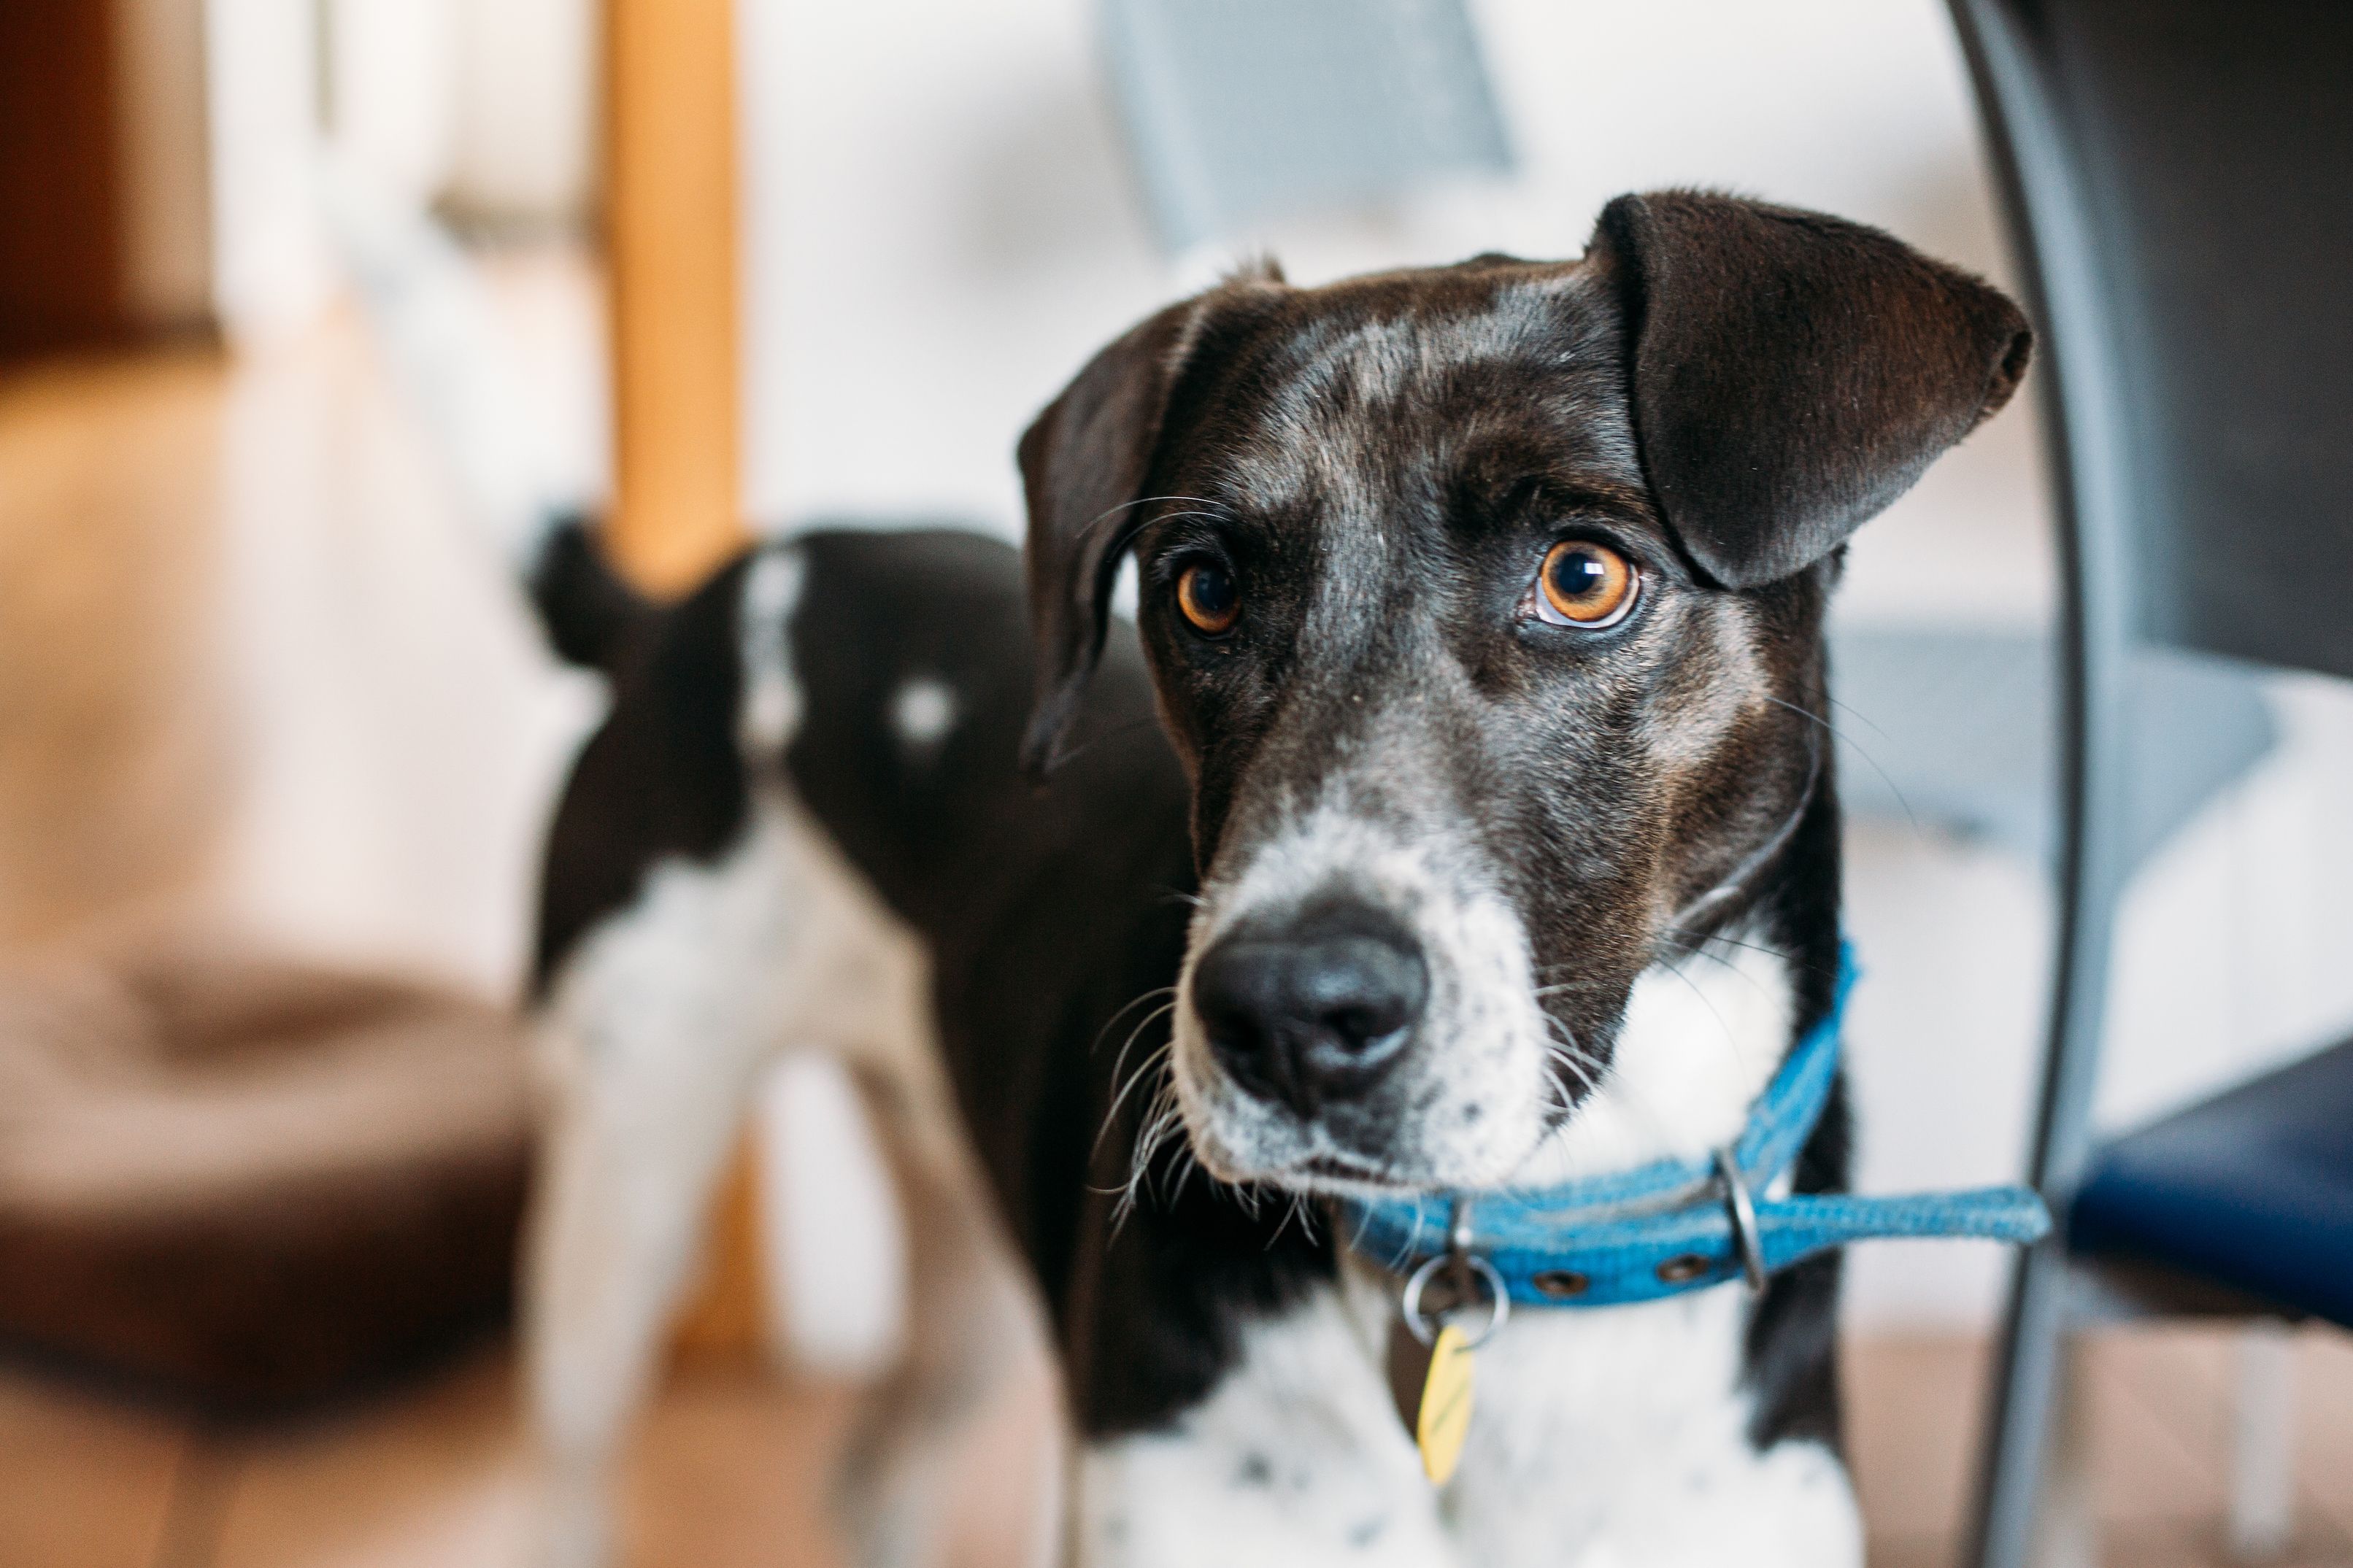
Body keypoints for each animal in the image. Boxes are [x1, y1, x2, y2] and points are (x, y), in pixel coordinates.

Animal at [506, 190, 2033, 1561]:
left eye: (1584, 574)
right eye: (1201, 589)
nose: (1290, 1015)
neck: (1520, 1245)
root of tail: (693, 602)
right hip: (624, 1186)